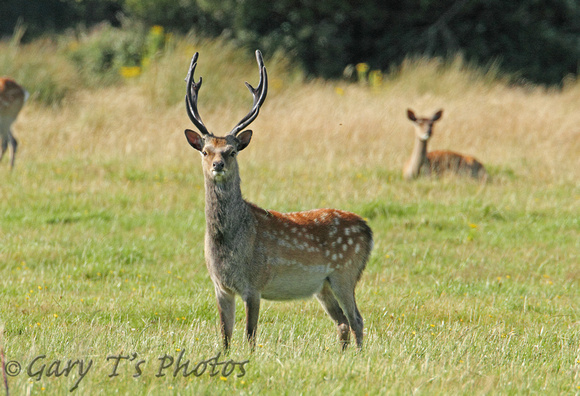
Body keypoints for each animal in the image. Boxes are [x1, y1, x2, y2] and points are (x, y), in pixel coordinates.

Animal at [182, 51, 372, 352]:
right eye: (205, 150)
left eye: (232, 151)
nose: (217, 165)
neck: (229, 246)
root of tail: (368, 229)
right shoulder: (220, 286)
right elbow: (225, 335)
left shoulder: (254, 284)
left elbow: (250, 334)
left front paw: (250, 358)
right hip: (323, 286)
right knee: (342, 322)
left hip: (345, 273)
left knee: (357, 319)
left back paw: (359, 356)